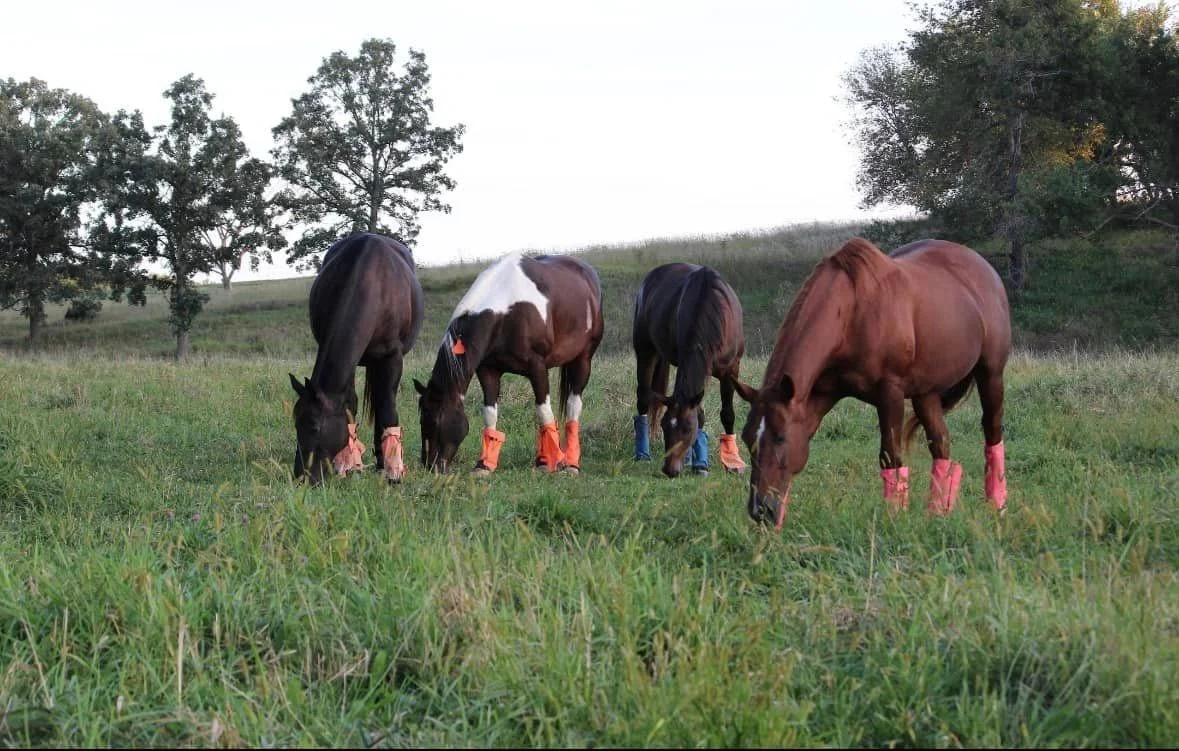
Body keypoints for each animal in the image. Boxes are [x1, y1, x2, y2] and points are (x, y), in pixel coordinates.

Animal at [288, 233, 424, 486]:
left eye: (314, 427)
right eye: (295, 423)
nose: (302, 477)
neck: (374, 284)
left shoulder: (392, 358)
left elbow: (388, 406)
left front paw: (393, 472)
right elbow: (350, 403)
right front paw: (349, 465)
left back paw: (382, 461)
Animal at [413, 252, 603, 475]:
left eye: (436, 419)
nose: (430, 465)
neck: (505, 314)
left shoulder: (537, 367)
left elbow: (544, 411)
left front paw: (554, 462)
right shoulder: (488, 370)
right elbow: (490, 414)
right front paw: (484, 465)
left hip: (583, 359)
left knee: (574, 407)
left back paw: (571, 464)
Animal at [631, 263, 752, 478]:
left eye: (687, 429)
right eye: (664, 426)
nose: (669, 469)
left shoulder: (731, 370)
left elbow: (727, 414)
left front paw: (731, 461)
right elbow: (701, 414)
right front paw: (699, 462)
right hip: (646, 352)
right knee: (643, 397)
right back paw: (643, 453)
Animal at [737, 237, 1011, 529]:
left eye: (780, 437)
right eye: (746, 438)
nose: (760, 510)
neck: (852, 314)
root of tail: (983, 266)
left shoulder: (890, 393)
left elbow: (890, 456)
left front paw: (894, 520)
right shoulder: (820, 394)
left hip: (990, 373)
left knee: (992, 430)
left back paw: (996, 504)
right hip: (925, 391)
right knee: (941, 442)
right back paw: (936, 514)